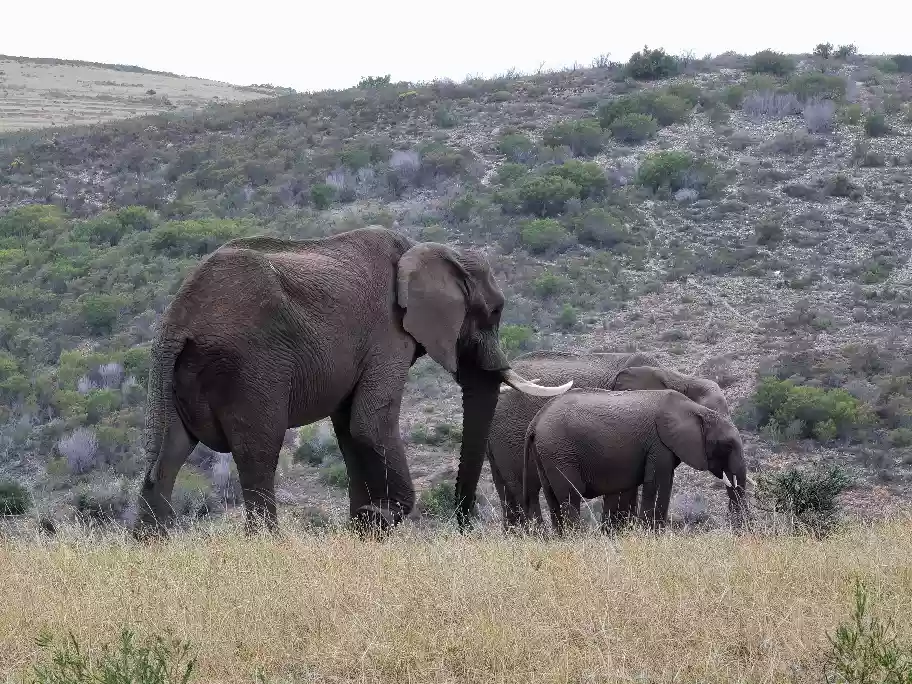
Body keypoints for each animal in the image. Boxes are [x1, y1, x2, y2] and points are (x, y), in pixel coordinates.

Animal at [132, 226, 572, 539]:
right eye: (494, 312)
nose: (463, 524)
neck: (422, 250)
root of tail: (181, 317)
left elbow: (348, 431)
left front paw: (364, 526)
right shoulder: (387, 334)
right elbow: (369, 423)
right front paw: (382, 516)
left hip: (166, 372)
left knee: (166, 453)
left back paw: (152, 547)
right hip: (250, 367)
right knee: (258, 452)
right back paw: (266, 544)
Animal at [522, 388, 752, 535]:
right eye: (728, 445)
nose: (737, 530)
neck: (697, 410)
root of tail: (534, 423)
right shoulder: (659, 443)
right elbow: (659, 483)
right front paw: (652, 534)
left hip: (547, 453)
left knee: (553, 498)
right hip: (559, 450)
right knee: (570, 496)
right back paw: (576, 538)